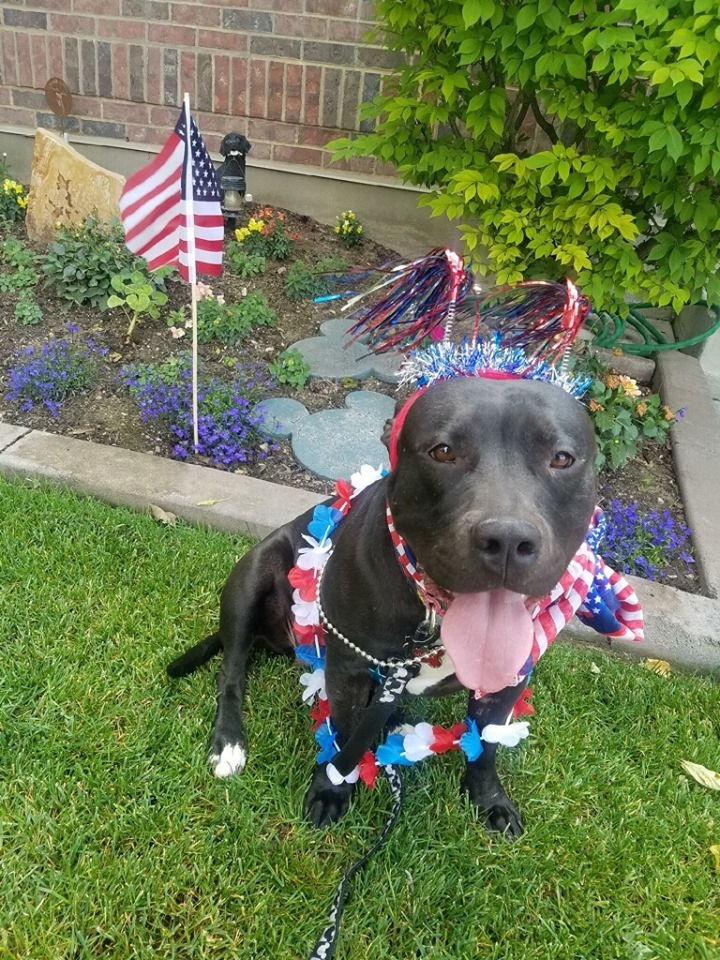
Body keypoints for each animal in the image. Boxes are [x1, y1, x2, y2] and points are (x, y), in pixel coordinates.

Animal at [169, 376, 596, 832]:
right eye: (443, 451)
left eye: (562, 458)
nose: (508, 539)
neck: (432, 616)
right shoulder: (346, 669)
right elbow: (342, 734)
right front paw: (333, 788)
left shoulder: (509, 679)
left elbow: (486, 747)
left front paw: (489, 800)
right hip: (250, 577)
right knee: (231, 674)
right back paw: (229, 742)